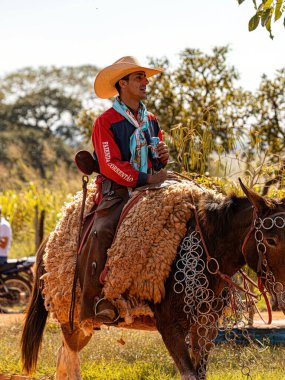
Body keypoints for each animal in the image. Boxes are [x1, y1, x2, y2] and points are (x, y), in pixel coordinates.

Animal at [21, 181, 284, 380]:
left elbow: (200, 373)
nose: (282, 294)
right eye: (271, 240)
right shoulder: (170, 327)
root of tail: (49, 241)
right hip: (71, 318)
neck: (205, 246)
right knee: (70, 360)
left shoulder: (205, 326)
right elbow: (189, 374)